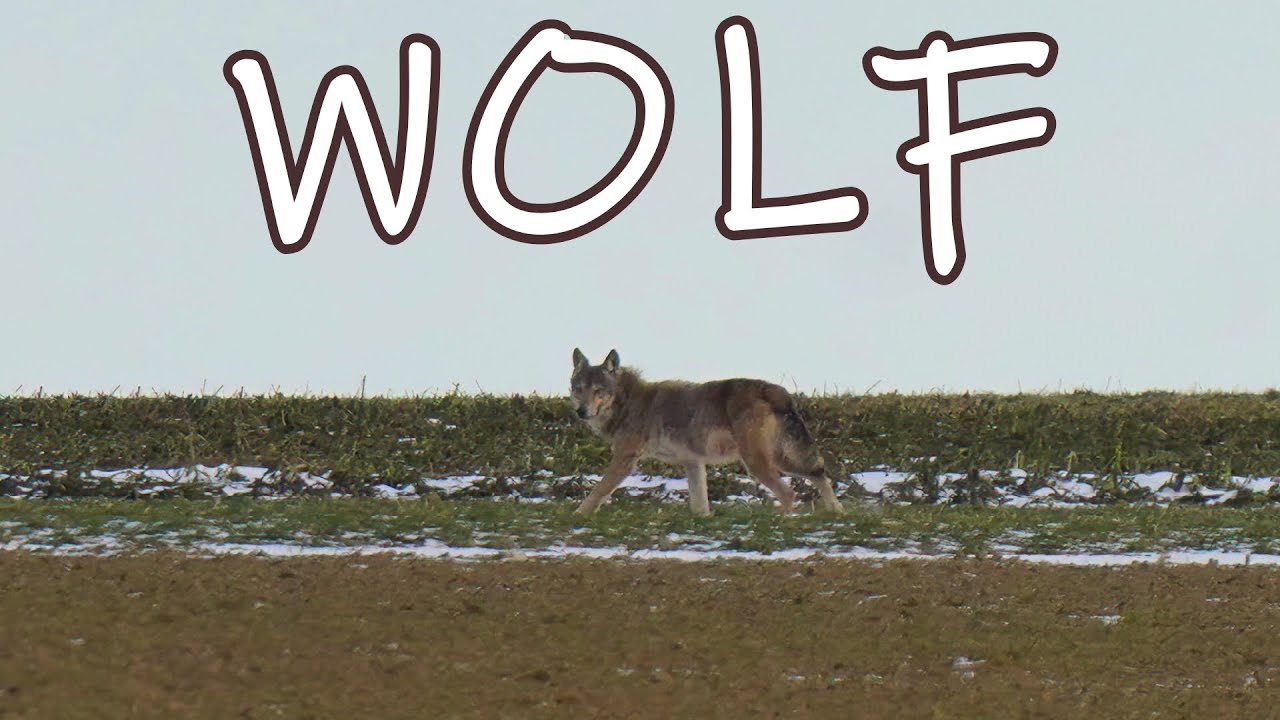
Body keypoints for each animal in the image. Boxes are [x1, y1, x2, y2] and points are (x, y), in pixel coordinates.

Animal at [569, 348, 843, 515]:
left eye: (598, 391)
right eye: (579, 388)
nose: (581, 411)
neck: (627, 402)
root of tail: (776, 390)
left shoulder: (625, 460)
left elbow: (597, 492)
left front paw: (579, 515)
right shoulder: (693, 462)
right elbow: (700, 505)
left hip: (757, 463)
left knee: (789, 492)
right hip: (781, 459)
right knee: (819, 473)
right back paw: (836, 511)